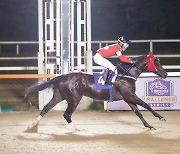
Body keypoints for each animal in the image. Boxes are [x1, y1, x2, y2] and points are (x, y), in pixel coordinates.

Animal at [24, 51, 167, 132]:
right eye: (156, 62)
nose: (165, 74)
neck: (126, 75)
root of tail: (62, 77)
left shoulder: (128, 98)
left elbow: (138, 112)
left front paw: (149, 126)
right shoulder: (130, 95)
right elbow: (146, 105)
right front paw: (160, 117)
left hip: (59, 96)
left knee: (46, 108)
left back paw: (31, 126)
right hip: (74, 99)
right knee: (67, 114)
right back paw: (76, 130)